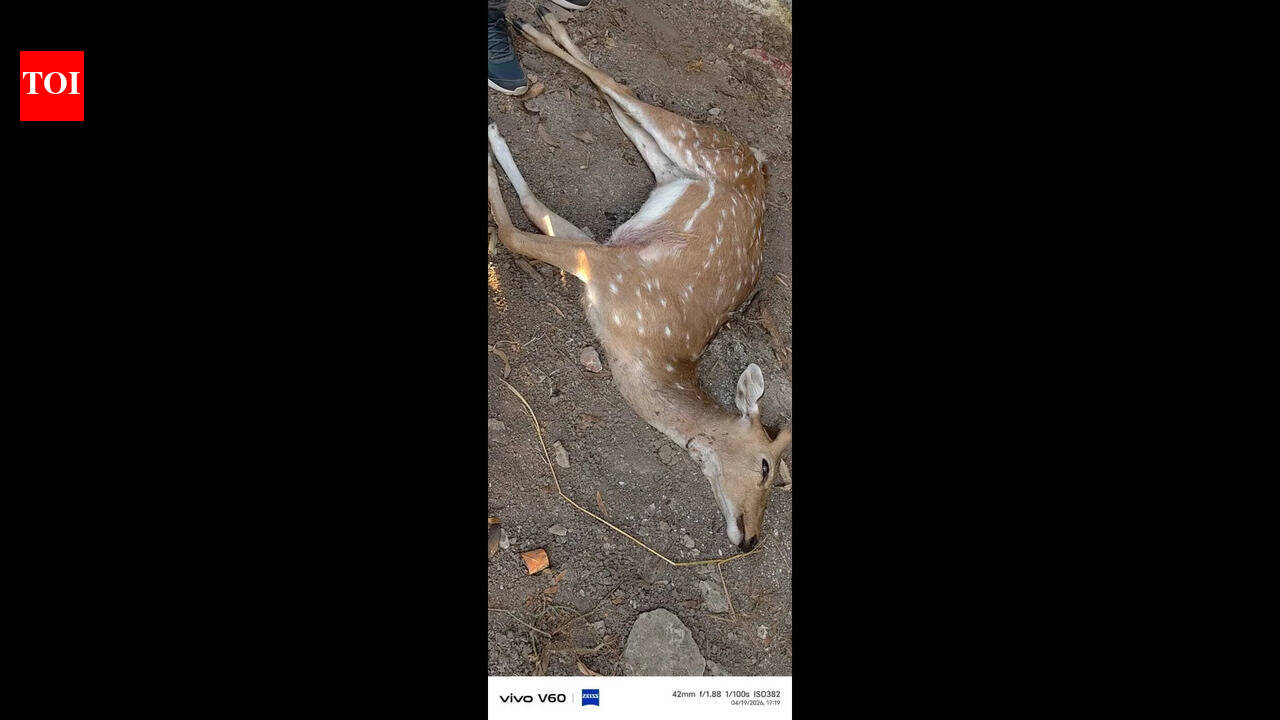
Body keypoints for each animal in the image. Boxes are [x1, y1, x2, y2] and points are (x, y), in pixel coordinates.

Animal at [487, 7, 791, 552]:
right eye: (764, 467)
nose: (751, 540)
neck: (645, 354)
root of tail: (756, 163)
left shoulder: (606, 254)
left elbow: (531, 208)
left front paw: (494, 140)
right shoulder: (611, 267)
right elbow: (511, 231)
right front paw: (492, 139)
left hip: (668, 162)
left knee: (620, 105)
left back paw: (540, 27)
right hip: (701, 145)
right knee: (621, 89)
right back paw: (537, 26)